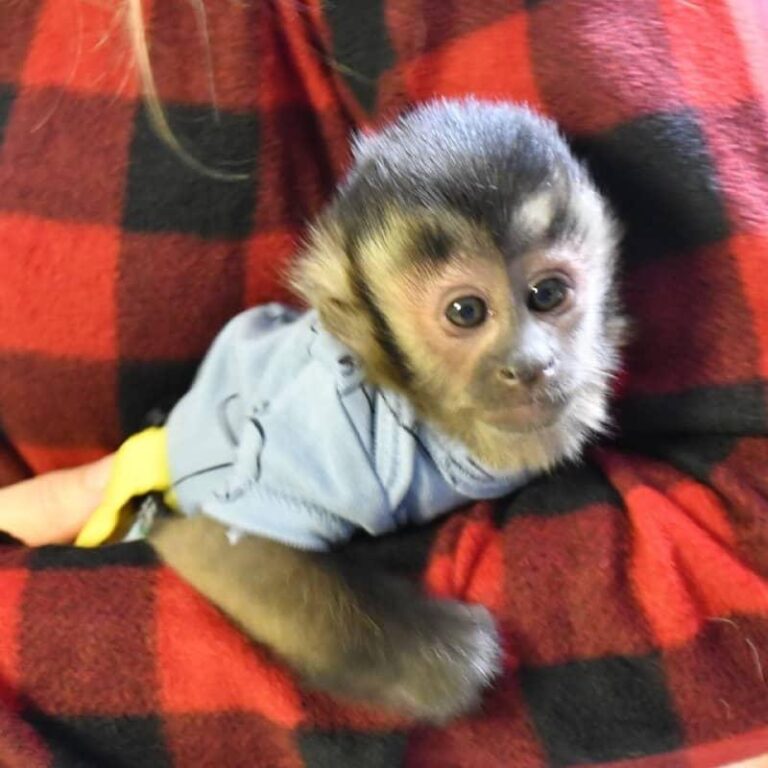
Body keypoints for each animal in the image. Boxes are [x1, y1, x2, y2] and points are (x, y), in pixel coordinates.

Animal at [79, 98, 625, 722]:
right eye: (466, 311)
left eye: (548, 295)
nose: (531, 365)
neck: (429, 424)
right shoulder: (327, 435)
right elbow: (219, 543)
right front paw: (441, 660)